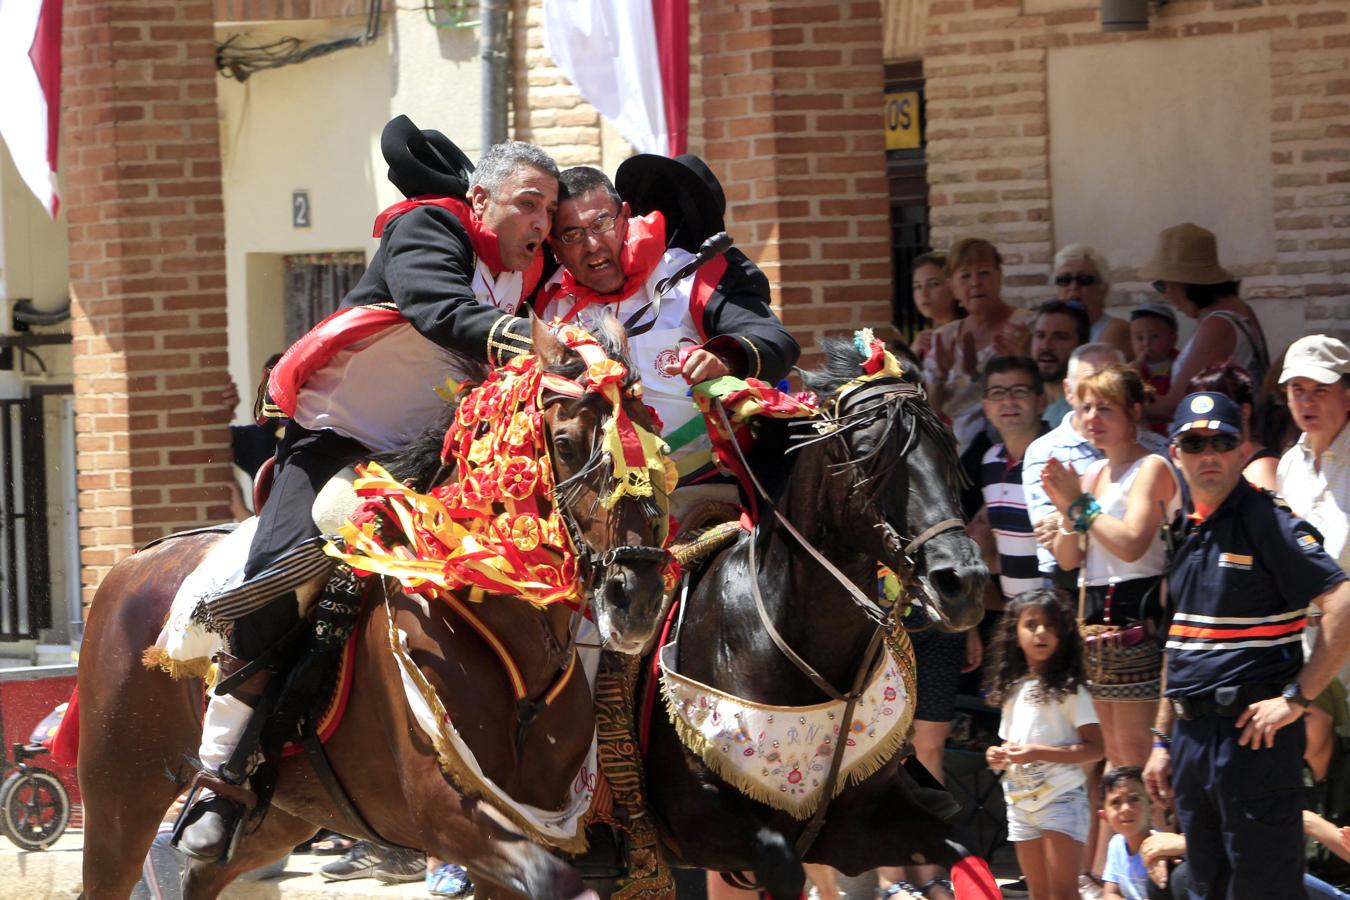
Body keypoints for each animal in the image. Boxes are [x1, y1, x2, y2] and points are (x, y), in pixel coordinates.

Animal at [75, 318, 675, 900]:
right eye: (567, 443)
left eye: (656, 447)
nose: (637, 597)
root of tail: (134, 561)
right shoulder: (449, 813)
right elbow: (557, 883)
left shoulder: (534, 821)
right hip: (120, 796)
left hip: (283, 814)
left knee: (205, 872)